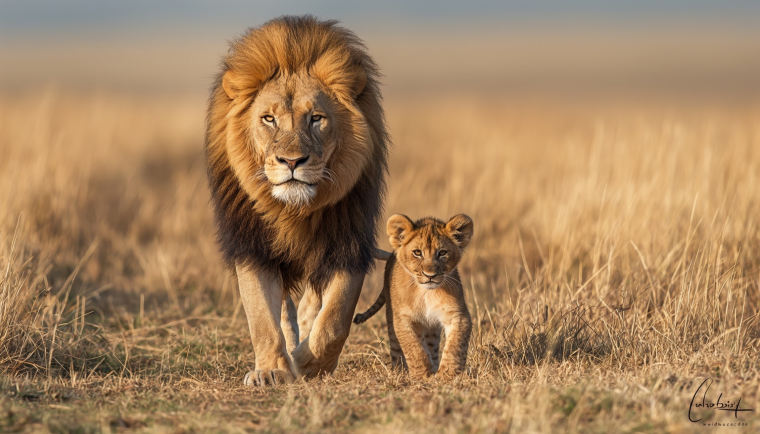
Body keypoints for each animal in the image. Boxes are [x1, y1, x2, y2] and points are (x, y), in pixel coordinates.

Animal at [205, 16, 389, 386]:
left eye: (316, 118)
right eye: (269, 119)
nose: (292, 162)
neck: (294, 209)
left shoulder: (348, 241)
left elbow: (335, 318)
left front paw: (310, 363)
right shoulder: (252, 245)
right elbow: (262, 317)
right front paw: (272, 370)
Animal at [353, 214, 474, 379]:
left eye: (442, 253)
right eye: (417, 252)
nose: (430, 275)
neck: (426, 293)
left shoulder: (457, 314)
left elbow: (455, 345)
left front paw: (446, 375)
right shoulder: (402, 318)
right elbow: (414, 348)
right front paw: (423, 375)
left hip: (432, 329)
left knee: (432, 346)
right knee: (397, 349)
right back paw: (399, 372)